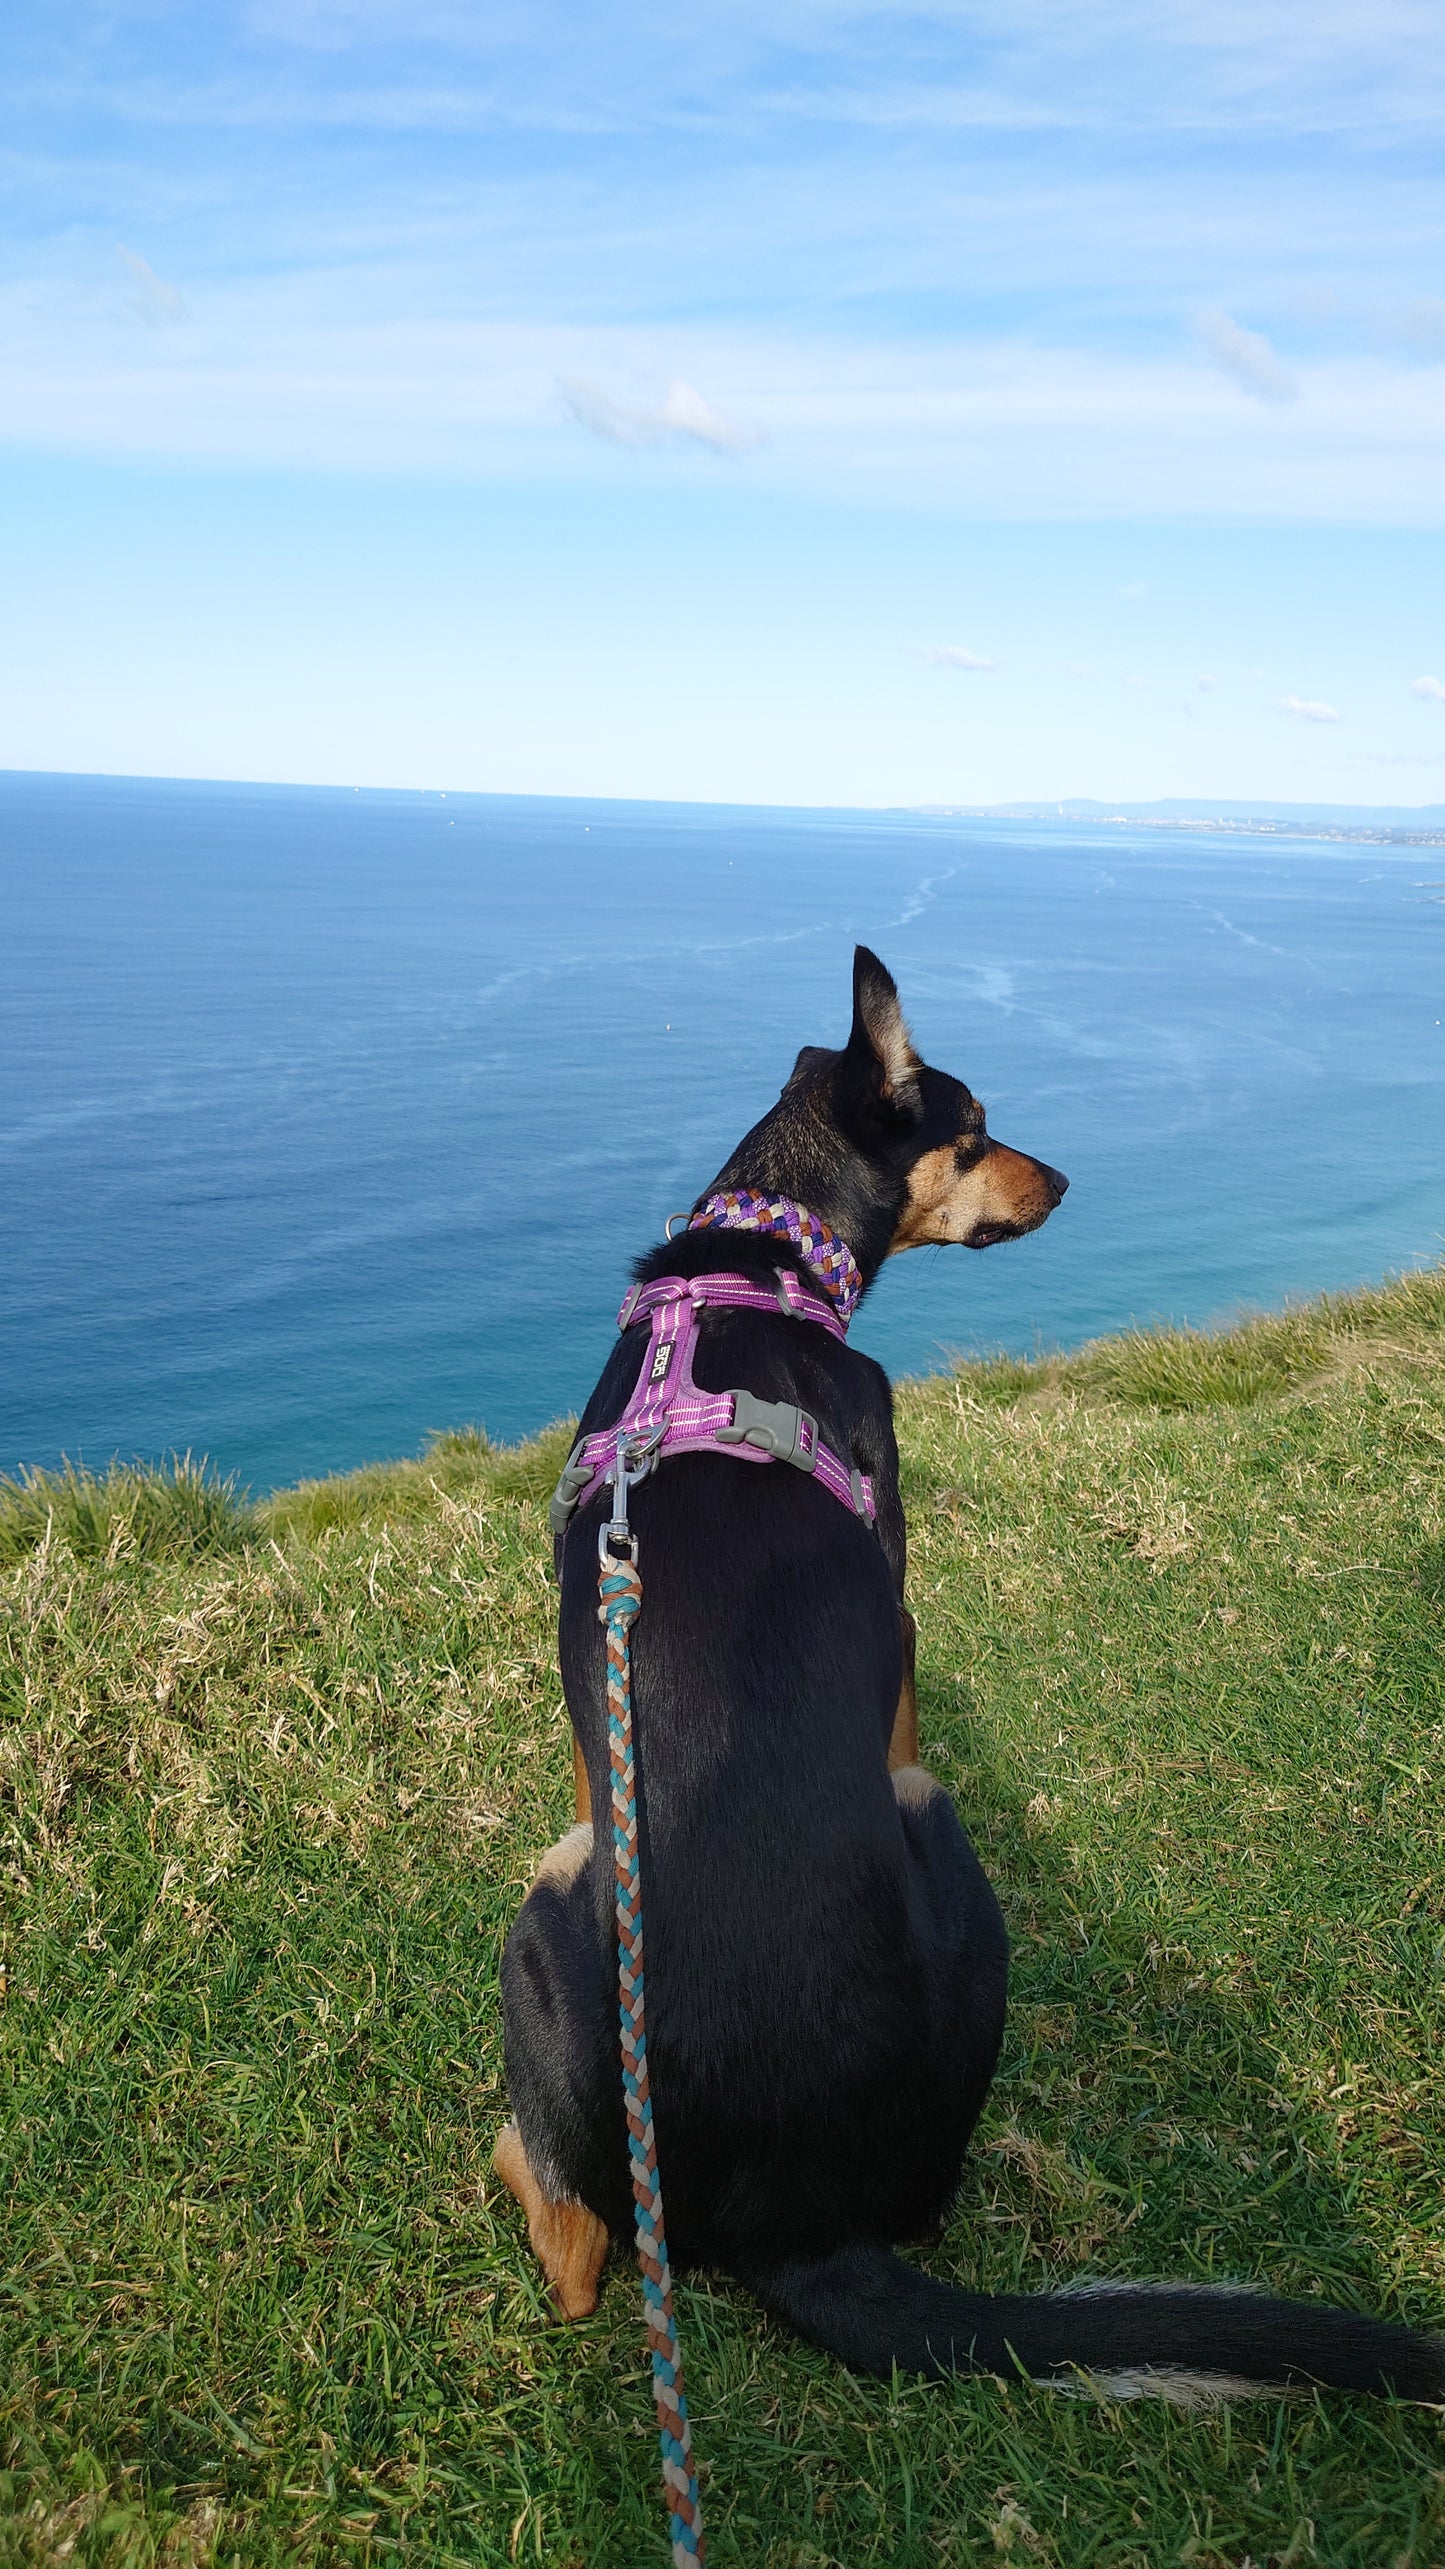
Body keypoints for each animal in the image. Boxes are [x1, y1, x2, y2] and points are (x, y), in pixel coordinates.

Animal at [488, 945, 1429, 2404]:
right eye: (976, 1135)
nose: (1067, 1180)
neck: (761, 1258)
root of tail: (797, 2218)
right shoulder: (901, 1599)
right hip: (725, 1864)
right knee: (581, 2248)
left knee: (593, 2249)